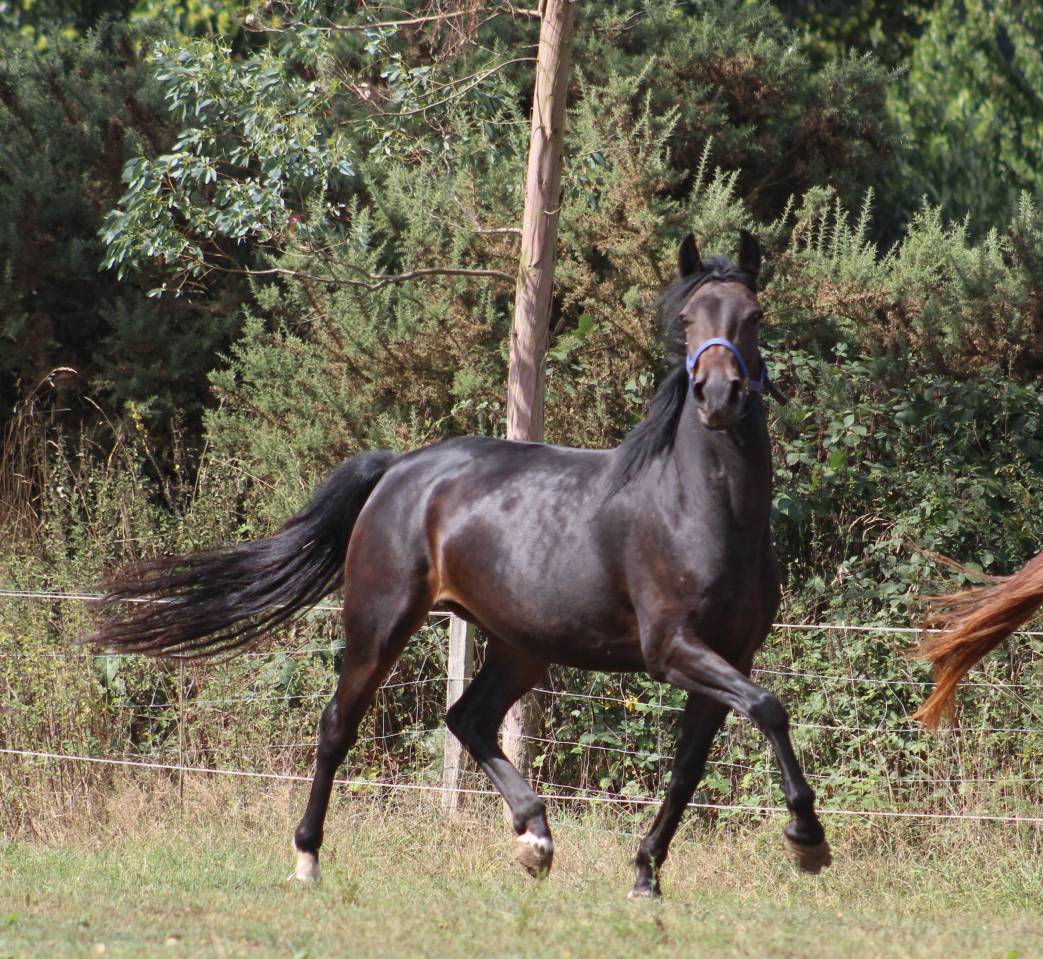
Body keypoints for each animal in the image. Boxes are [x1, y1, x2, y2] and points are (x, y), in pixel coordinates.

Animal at [88, 230, 831, 898]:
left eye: (754, 316)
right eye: (685, 320)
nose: (717, 396)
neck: (700, 510)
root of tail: (400, 468)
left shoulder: (728, 653)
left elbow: (689, 766)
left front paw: (646, 873)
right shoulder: (671, 648)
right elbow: (770, 709)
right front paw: (807, 839)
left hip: (520, 644)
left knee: (467, 719)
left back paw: (534, 838)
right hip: (380, 625)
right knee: (338, 726)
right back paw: (308, 859)